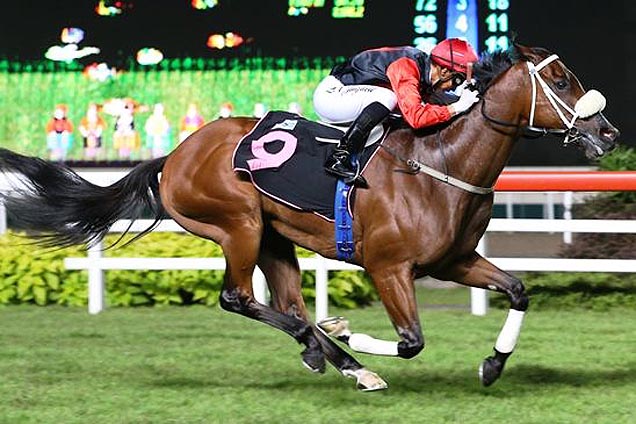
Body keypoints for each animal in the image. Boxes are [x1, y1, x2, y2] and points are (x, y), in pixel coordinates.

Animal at [0, 44, 616, 390]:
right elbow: (411, 340)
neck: (441, 162)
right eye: (559, 81)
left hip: (274, 236)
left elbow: (517, 290)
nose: (607, 133)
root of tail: (173, 156)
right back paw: (333, 349)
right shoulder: (388, 268)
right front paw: (354, 332)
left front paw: (492, 366)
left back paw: (338, 358)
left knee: (288, 303)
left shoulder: (455, 260)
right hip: (238, 226)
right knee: (239, 299)